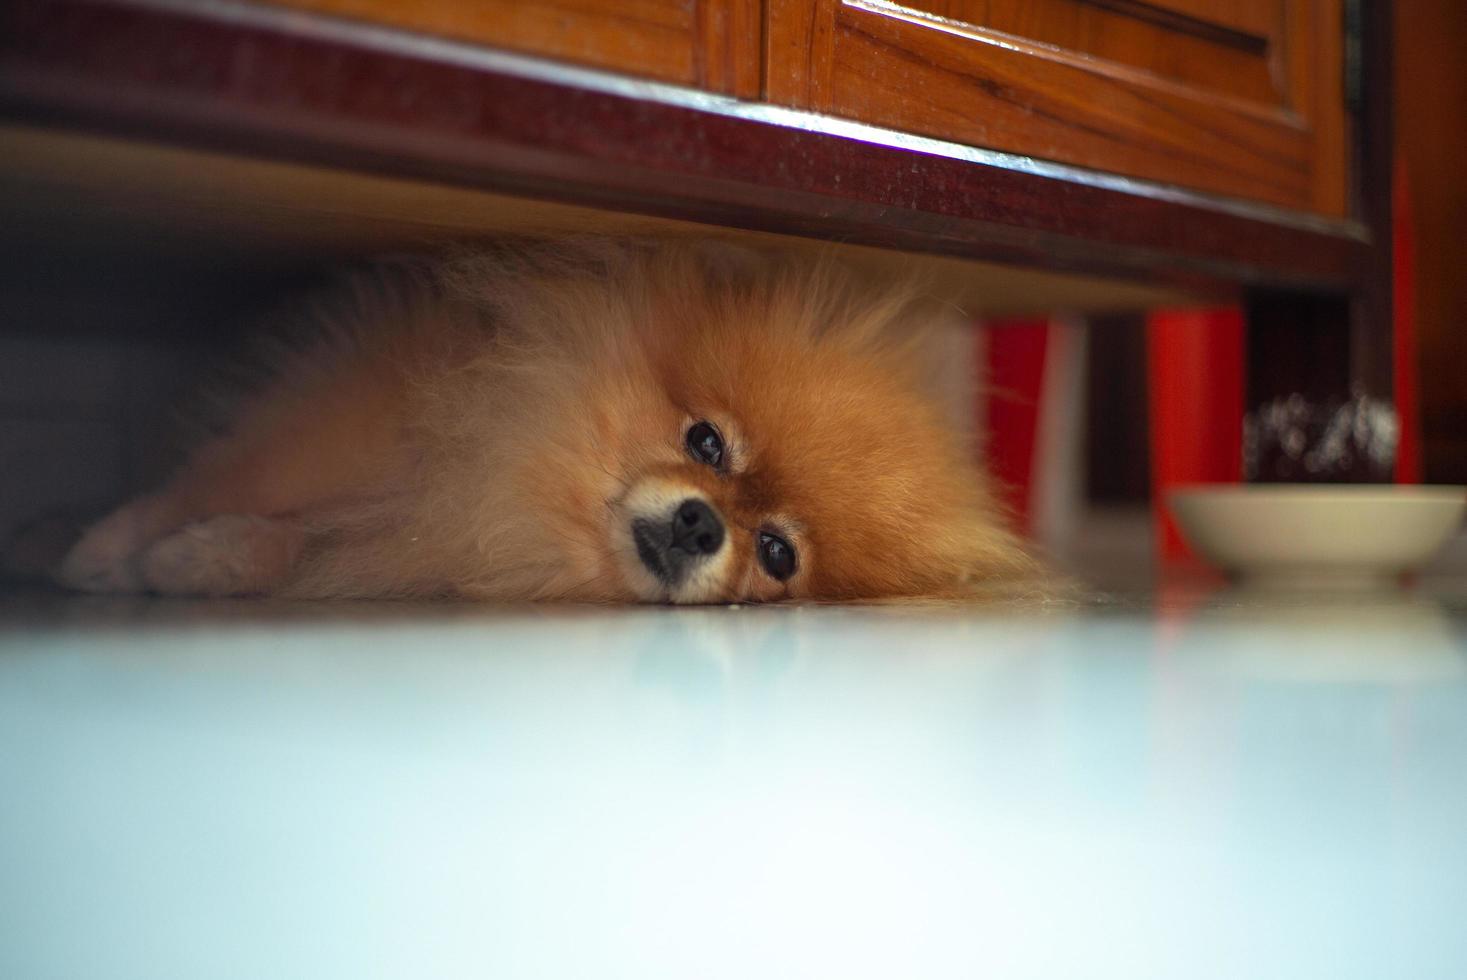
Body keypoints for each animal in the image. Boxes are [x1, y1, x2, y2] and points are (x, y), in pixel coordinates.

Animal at [57, 240, 1032, 601]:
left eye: (778, 553)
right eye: (705, 441)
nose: (698, 523)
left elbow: (286, 543)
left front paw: (193, 562)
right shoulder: (324, 432)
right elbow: (201, 488)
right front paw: (107, 551)